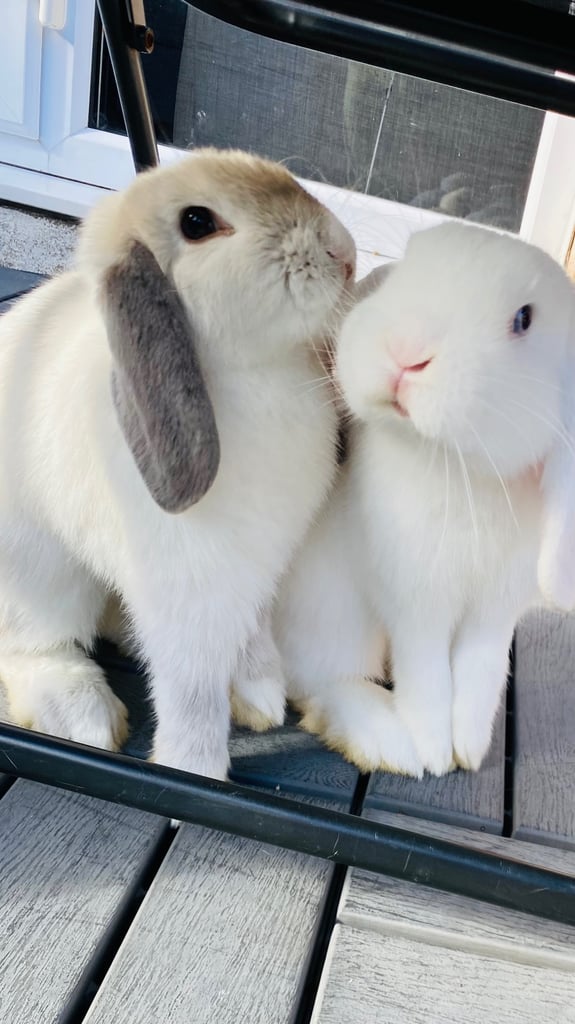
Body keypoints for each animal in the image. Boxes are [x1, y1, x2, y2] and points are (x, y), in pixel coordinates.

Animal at [0, 147, 356, 780]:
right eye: (197, 222)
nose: (345, 252)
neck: (257, 373)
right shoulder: (186, 593)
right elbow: (191, 689)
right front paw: (194, 767)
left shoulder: (258, 565)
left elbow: (252, 626)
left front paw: (259, 690)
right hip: (39, 582)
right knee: (30, 649)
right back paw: (84, 714)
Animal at [271, 221, 575, 778]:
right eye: (407, 266)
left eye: (524, 319)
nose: (405, 349)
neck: (461, 474)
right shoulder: (414, 603)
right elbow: (427, 672)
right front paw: (433, 751)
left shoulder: (495, 612)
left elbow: (479, 673)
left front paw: (469, 750)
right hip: (333, 615)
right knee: (319, 681)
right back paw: (391, 742)